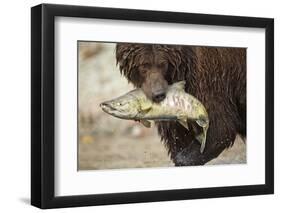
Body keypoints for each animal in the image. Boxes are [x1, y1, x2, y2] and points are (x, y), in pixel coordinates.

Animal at [115, 43, 244, 166]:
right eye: (143, 66)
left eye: (163, 64)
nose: (158, 94)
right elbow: (178, 136)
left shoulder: (209, 79)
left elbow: (220, 129)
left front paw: (183, 159)